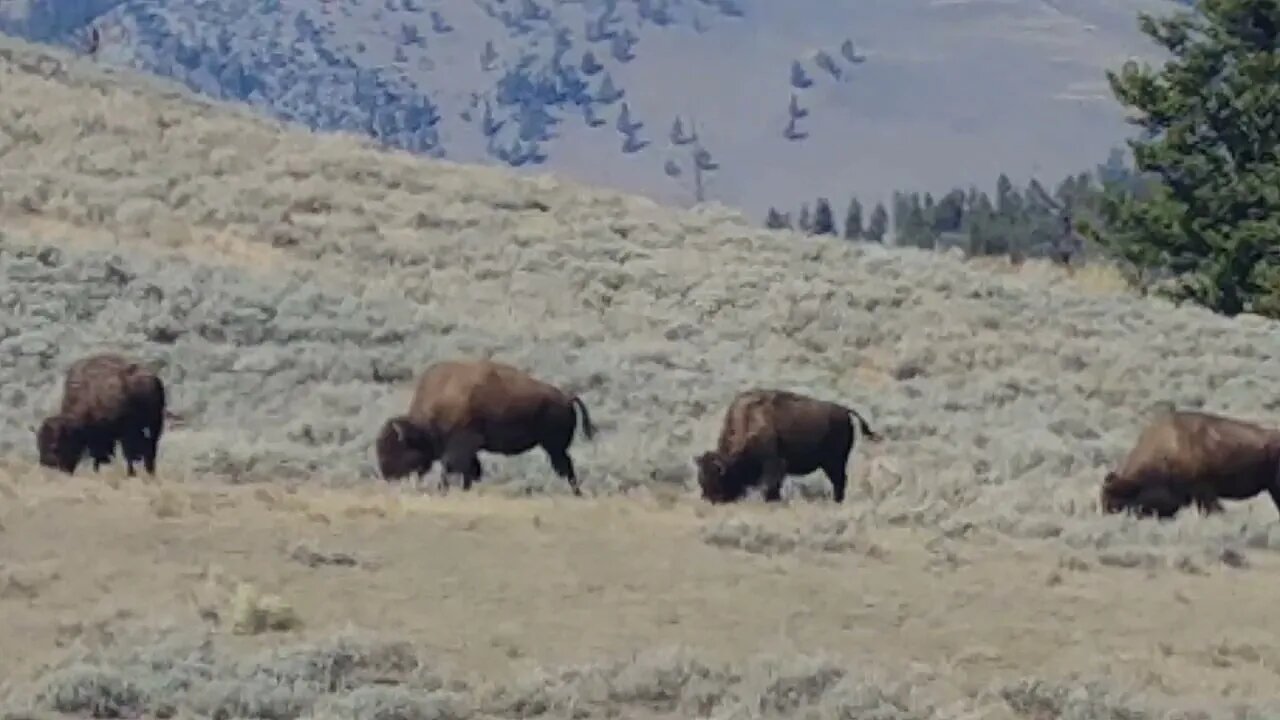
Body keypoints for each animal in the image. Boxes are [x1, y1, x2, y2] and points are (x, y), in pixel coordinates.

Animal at [32, 348, 170, 474]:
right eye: (39, 445)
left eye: (55, 447)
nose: (46, 464)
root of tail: (153, 378)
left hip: (152, 425)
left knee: (143, 451)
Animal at [373, 356, 599, 491]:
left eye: (397, 448)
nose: (386, 474)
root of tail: (566, 397)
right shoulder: (469, 449)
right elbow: (471, 470)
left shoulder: (461, 444)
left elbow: (452, 467)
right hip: (553, 447)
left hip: (553, 446)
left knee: (565, 467)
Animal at [696, 389, 885, 502]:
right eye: (701, 477)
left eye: (718, 477)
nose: (709, 498)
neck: (749, 421)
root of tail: (845, 411)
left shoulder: (774, 464)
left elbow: (771, 486)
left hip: (835, 462)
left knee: (840, 481)